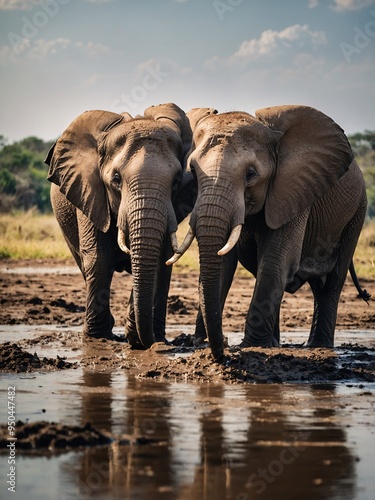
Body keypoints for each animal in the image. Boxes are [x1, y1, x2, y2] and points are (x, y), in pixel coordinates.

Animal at [46, 103, 197, 350]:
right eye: (116, 180)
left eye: (176, 182)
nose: (148, 343)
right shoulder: (90, 191)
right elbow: (99, 258)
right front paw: (98, 338)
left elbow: (159, 259)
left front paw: (141, 337)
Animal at [169, 105, 368, 360]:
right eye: (192, 171)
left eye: (251, 174)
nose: (221, 350)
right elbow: (224, 264)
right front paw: (205, 344)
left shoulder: (294, 190)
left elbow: (276, 260)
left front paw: (253, 346)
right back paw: (278, 343)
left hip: (356, 214)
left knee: (330, 283)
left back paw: (318, 346)